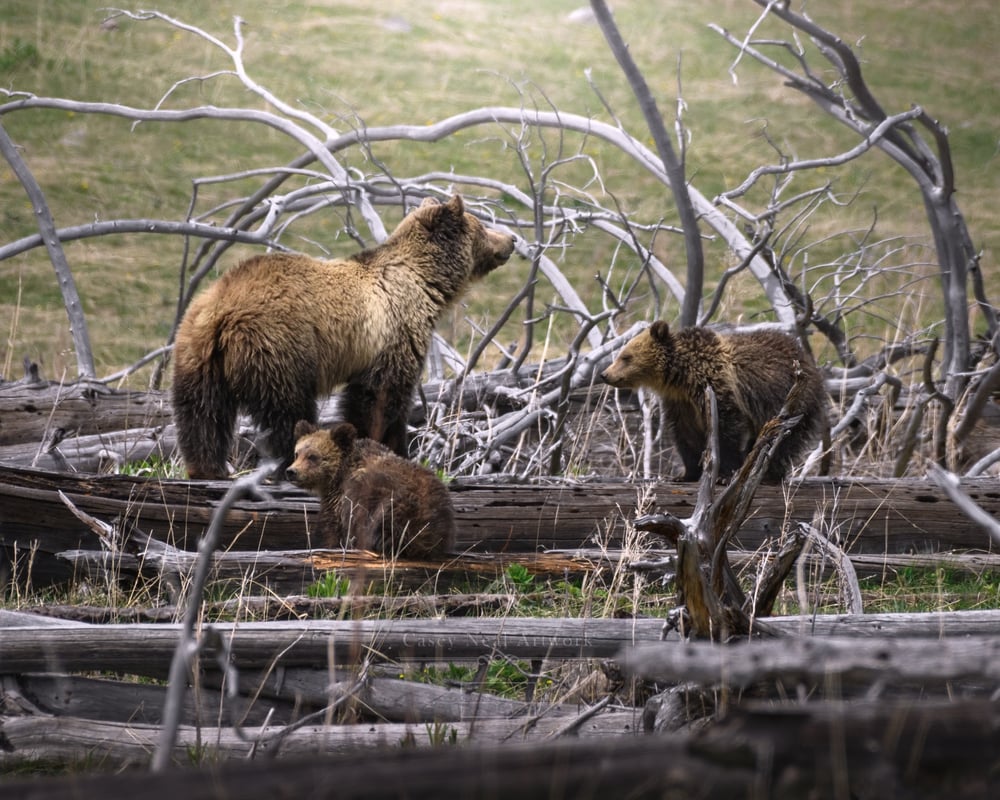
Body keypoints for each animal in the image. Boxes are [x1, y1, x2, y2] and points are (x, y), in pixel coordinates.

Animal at [172, 196, 516, 478]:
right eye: (482, 225)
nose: (511, 239)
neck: (423, 282)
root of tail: (223, 311)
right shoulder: (393, 334)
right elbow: (380, 399)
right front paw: (391, 449)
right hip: (278, 347)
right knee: (287, 411)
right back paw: (286, 463)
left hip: (197, 355)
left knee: (201, 414)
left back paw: (207, 468)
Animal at [600, 320, 828, 482]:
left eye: (626, 357)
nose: (605, 374)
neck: (682, 376)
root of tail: (807, 357)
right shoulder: (681, 403)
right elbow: (686, 435)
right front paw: (684, 474)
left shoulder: (717, 389)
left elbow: (726, 430)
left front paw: (724, 475)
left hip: (792, 399)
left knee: (786, 438)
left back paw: (767, 472)